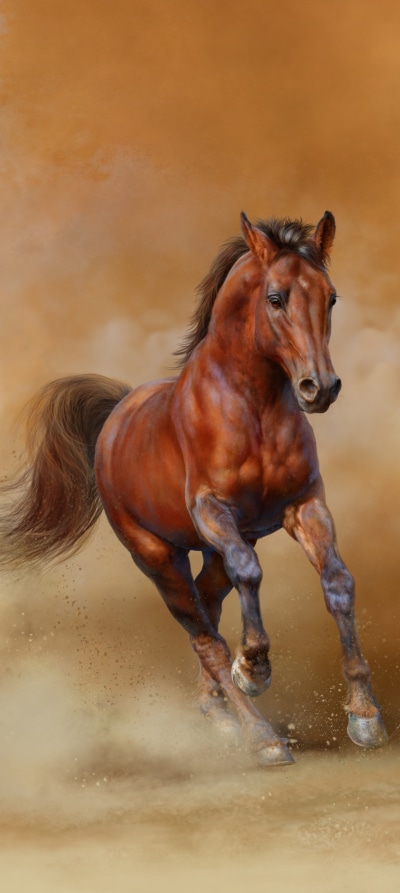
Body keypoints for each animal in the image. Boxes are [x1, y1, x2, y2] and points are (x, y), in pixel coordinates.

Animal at [0, 211, 388, 766]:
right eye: (276, 298)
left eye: (330, 297)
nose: (320, 388)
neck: (254, 408)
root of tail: (116, 416)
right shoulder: (213, 511)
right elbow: (251, 577)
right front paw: (254, 670)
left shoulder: (305, 506)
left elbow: (338, 582)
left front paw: (365, 716)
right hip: (158, 556)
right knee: (205, 634)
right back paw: (261, 735)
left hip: (210, 552)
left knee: (211, 609)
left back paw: (218, 713)